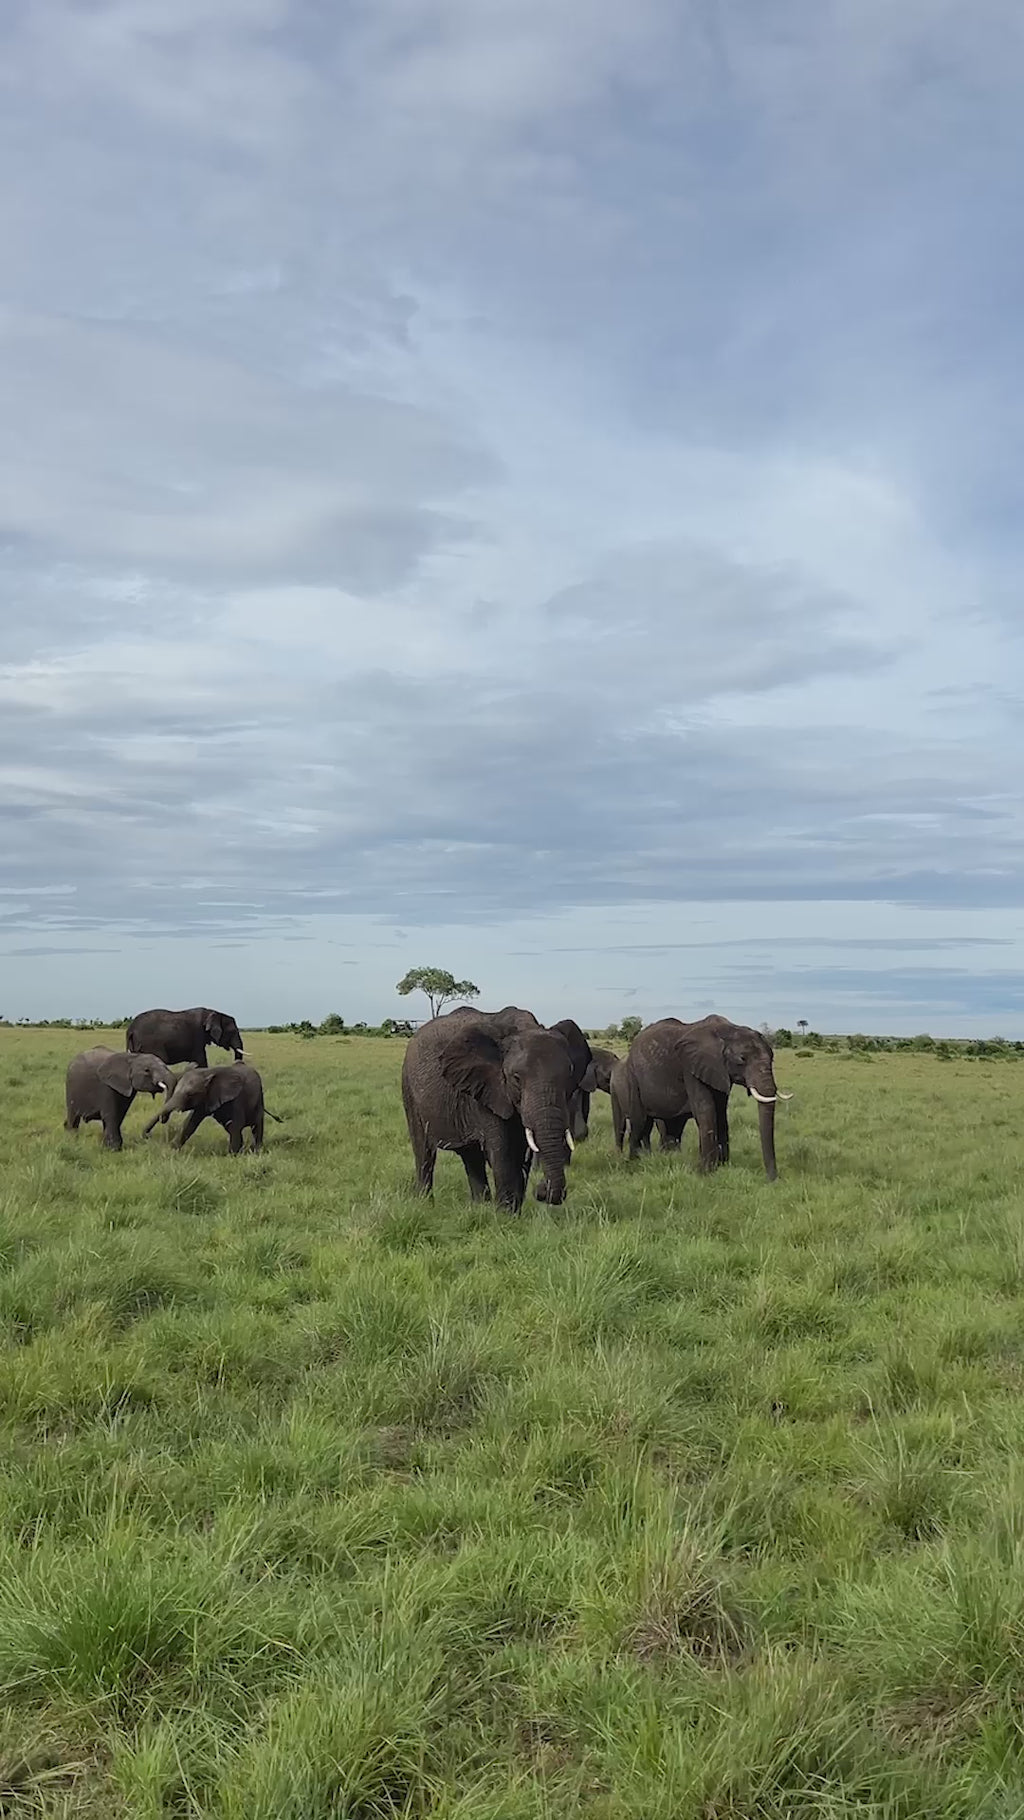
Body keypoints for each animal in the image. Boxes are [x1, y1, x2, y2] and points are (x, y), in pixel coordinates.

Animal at [401, 1006, 592, 1209]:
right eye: (516, 1078)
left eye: (569, 1074)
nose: (541, 1190)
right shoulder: (487, 1089)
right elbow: (503, 1153)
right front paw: (505, 1214)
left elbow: (521, 1155)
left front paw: (513, 1212)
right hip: (409, 1089)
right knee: (424, 1151)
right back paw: (425, 1204)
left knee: (471, 1156)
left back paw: (479, 1207)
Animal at [618, 1015, 791, 1178]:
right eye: (742, 1059)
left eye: (772, 1057)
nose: (772, 1179)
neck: (727, 1030)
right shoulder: (691, 1068)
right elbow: (706, 1111)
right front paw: (706, 1173)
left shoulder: (719, 1072)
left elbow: (721, 1114)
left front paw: (722, 1166)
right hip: (633, 1077)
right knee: (639, 1121)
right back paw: (633, 1162)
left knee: (672, 1126)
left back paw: (666, 1158)